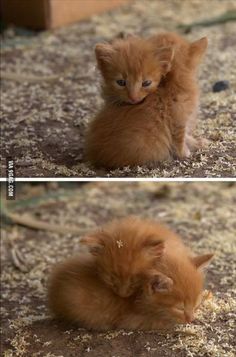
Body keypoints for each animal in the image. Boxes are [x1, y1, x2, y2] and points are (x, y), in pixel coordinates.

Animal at [85, 32, 207, 168]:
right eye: (121, 82)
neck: (171, 84)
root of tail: (92, 153)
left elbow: (187, 137)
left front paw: (197, 143)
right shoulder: (179, 120)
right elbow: (180, 140)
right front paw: (185, 153)